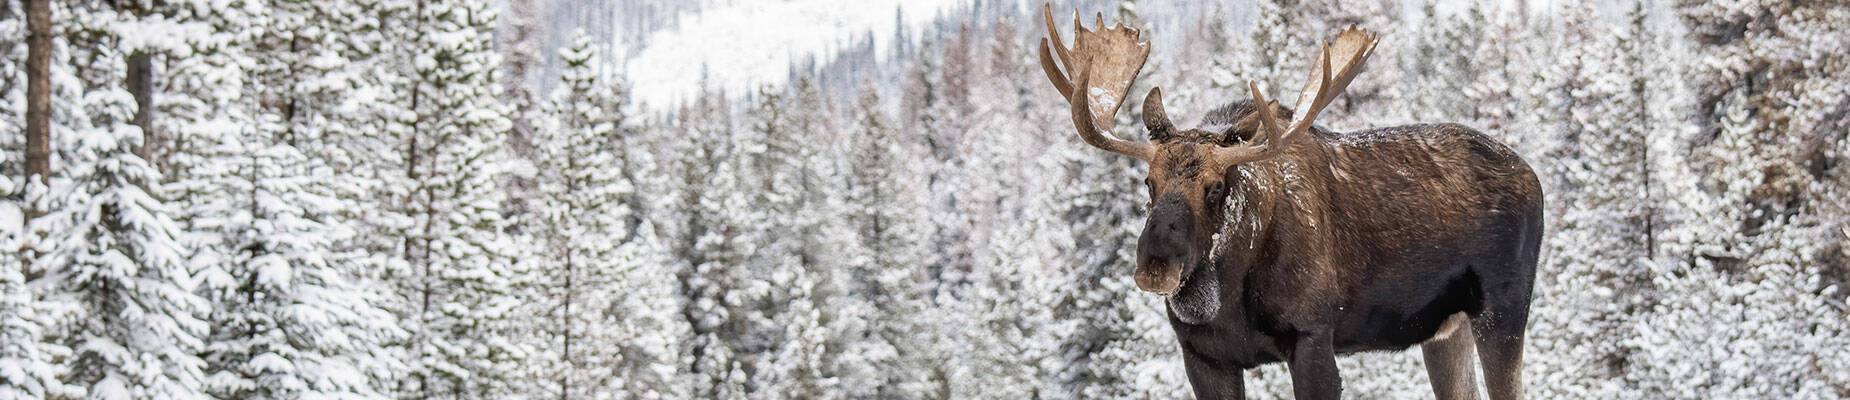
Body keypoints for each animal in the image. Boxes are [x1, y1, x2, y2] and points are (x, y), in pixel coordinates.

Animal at [1034, 5, 1544, 400]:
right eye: (1148, 182)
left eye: (1216, 186)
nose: (1156, 263)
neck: (1230, 294)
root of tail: (1533, 176)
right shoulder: (1204, 357)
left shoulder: (1312, 339)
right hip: (1444, 330)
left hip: (1503, 309)